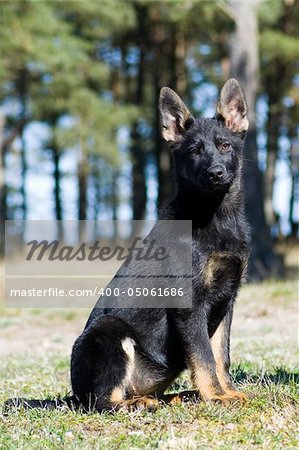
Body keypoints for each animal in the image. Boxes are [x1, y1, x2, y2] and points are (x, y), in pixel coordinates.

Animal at [4, 79, 251, 414]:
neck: (213, 214)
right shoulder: (191, 306)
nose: (216, 173)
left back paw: (176, 396)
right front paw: (215, 396)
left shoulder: (226, 301)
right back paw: (142, 402)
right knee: (103, 400)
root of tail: (74, 395)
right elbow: (204, 357)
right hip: (109, 332)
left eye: (225, 146)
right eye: (194, 152)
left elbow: (220, 356)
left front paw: (228, 391)